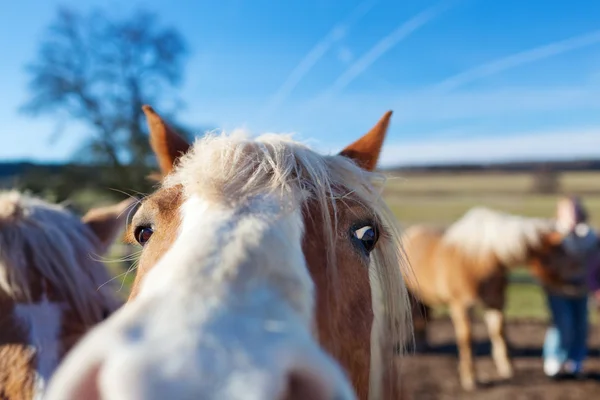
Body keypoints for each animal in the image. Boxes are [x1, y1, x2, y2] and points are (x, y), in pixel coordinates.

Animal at [400, 206, 576, 390]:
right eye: (560, 251)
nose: (576, 281)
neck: (479, 261)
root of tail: (412, 232)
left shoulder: (496, 303)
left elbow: (499, 333)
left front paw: (507, 369)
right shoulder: (462, 307)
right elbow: (467, 339)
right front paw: (469, 377)